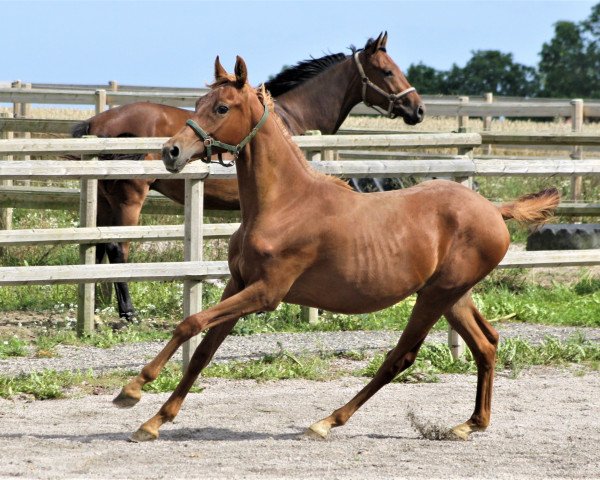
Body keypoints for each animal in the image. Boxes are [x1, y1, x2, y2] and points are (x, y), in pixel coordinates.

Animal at [72, 31, 424, 320]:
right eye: (388, 71)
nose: (417, 109)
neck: (292, 119)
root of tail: (97, 122)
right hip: (129, 198)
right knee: (117, 248)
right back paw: (127, 312)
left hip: (106, 199)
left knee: (100, 246)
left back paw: (102, 306)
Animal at [113, 56, 564, 442]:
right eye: (199, 103)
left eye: (222, 108)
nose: (171, 152)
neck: (284, 204)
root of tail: (494, 209)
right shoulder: (238, 284)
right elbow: (203, 350)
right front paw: (153, 422)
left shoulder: (266, 293)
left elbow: (189, 324)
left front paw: (132, 390)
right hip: (452, 296)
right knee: (486, 343)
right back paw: (470, 423)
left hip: (437, 296)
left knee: (401, 356)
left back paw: (327, 421)